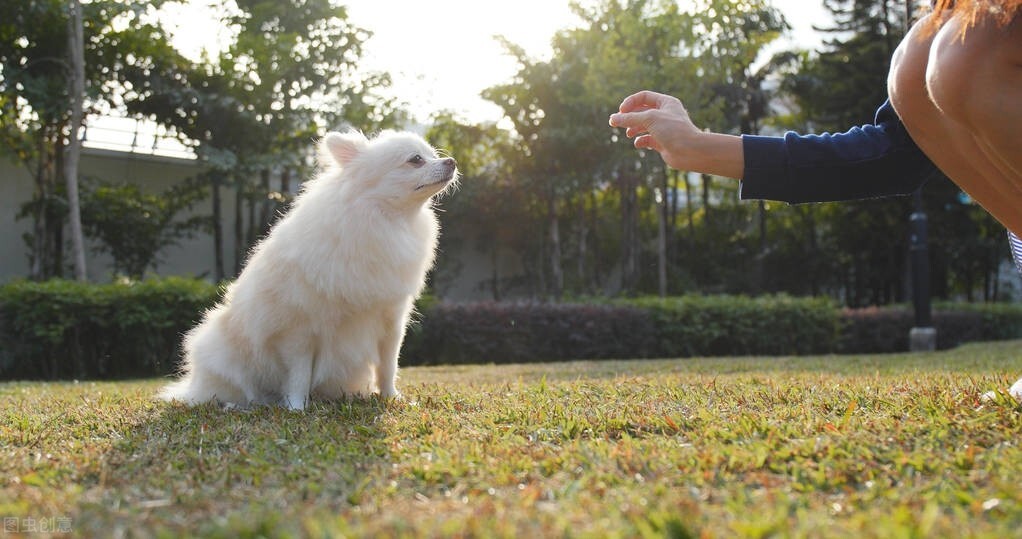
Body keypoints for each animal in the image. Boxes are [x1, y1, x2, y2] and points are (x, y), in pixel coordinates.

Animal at [160, 129, 459, 409]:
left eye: (433, 154)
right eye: (416, 160)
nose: (452, 161)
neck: (386, 221)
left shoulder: (390, 320)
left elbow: (387, 365)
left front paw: (391, 397)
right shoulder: (299, 329)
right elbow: (299, 373)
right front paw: (296, 408)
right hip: (222, 352)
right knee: (228, 390)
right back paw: (237, 405)